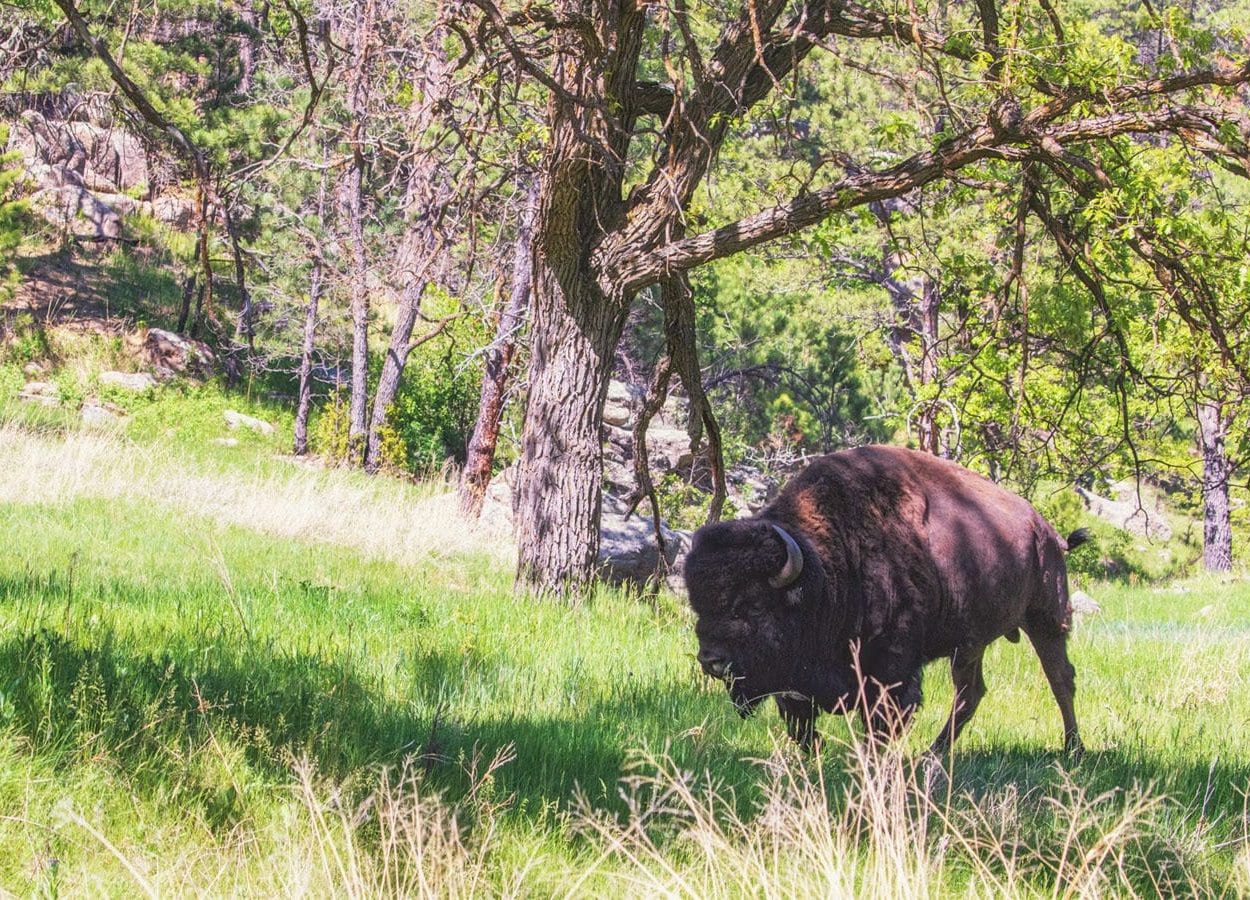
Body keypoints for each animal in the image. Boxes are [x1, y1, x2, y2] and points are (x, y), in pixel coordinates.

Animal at [684, 444, 1089, 755]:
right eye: (699, 605)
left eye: (752, 604)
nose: (711, 660)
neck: (828, 568)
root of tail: (1046, 529)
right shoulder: (795, 683)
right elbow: (802, 729)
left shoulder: (891, 669)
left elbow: (880, 725)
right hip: (970, 644)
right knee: (970, 693)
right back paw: (935, 752)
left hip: (1046, 619)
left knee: (1061, 678)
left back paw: (1073, 748)